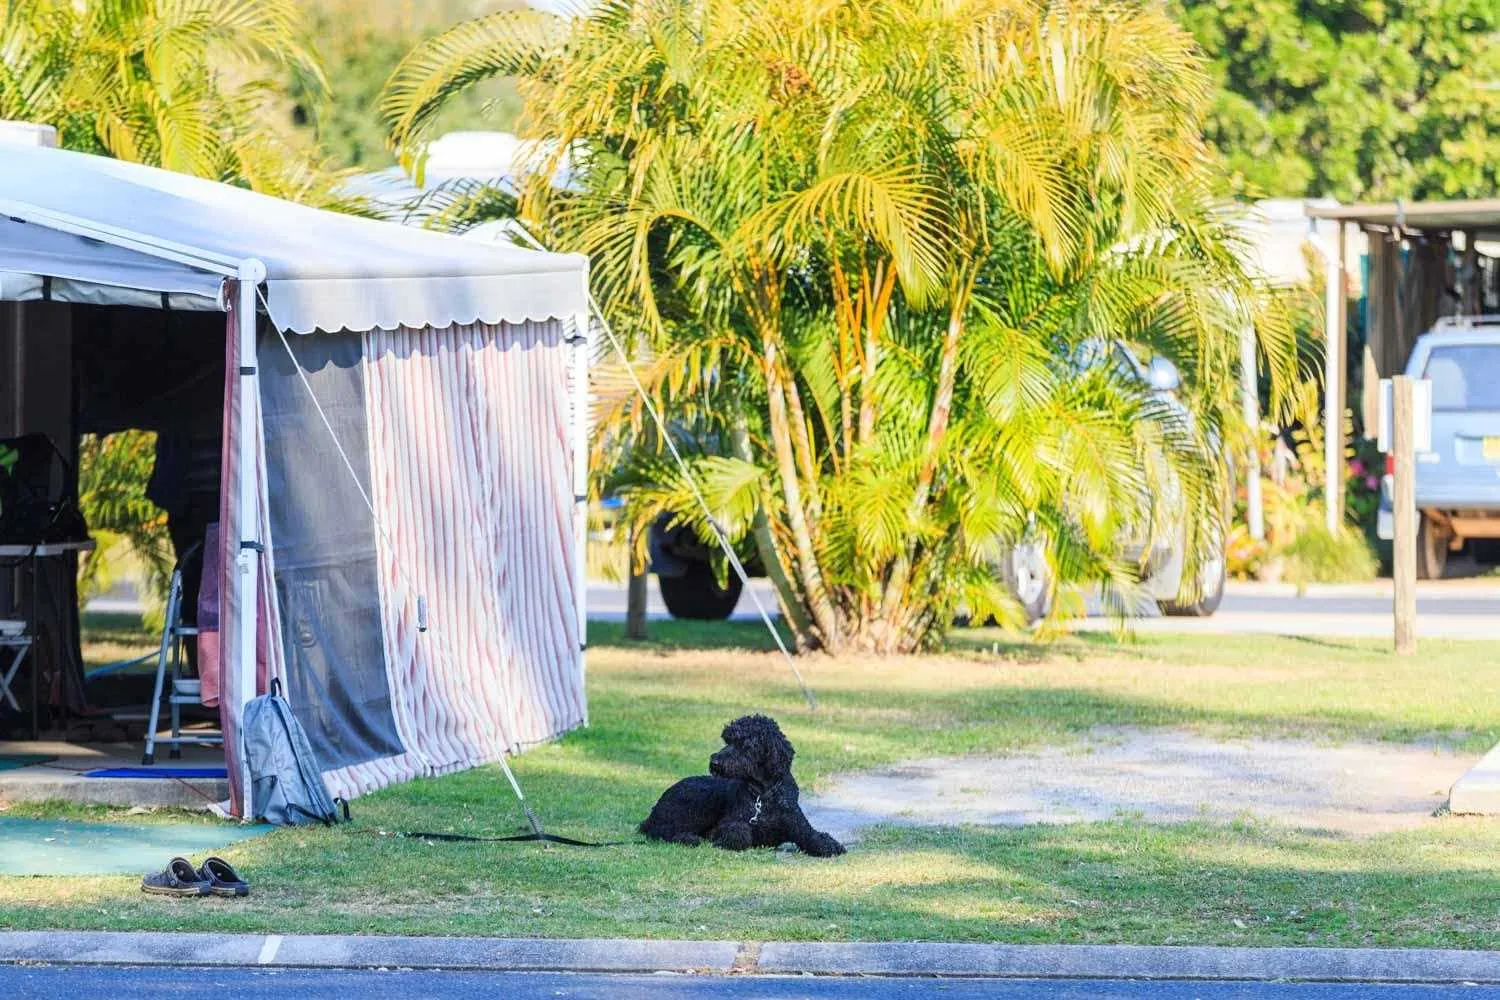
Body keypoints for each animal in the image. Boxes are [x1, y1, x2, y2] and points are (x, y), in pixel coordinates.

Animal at [636, 710, 846, 863]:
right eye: (727, 740)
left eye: (745, 744)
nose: (715, 762)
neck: (763, 795)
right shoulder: (729, 824)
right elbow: (739, 832)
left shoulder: (798, 825)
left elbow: (814, 836)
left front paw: (830, 845)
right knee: (661, 831)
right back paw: (689, 838)